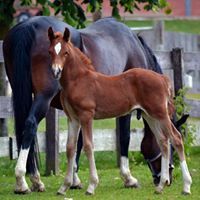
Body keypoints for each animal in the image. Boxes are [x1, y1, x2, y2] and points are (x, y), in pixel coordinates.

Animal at [3, 16, 173, 194]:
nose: (168, 178)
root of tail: (29, 26)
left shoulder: (79, 112)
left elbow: (77, 143)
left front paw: (74, 179)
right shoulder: (124, 109)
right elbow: (124, 138)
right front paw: (128, 178)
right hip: (44, 97)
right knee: (30, 124)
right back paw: (25, 180)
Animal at [47, 26, 191, 195]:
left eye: (66, 52)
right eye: (50, 51)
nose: (56, 71)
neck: (78, 80)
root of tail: (163, 79)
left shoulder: (86, 116)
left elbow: (88, 146)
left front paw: (92, 185)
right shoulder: (73, 118)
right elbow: (70, 148)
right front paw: (64, 187)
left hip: (160, 113)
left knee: (176, 138)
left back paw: (186, 186)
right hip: (150, 115)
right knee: (163, 141)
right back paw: (161, 186)